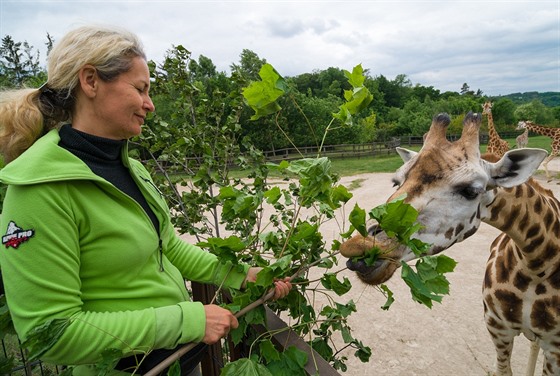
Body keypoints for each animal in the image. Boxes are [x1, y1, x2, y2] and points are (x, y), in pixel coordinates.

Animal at [342, 112, 560, 376]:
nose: (359, 250)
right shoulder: (497, 328)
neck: (537, 263)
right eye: (396, 182)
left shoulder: (555, 348)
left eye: (471, 191)